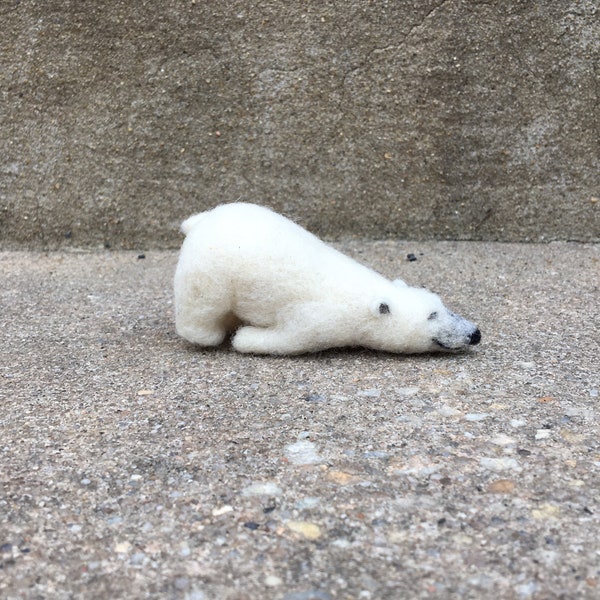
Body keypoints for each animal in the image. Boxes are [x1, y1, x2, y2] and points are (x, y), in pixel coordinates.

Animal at [172, 205, 478, 356]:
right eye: (432, 315)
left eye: (440, 304)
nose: (475, 333)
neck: (358, 296)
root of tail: (201, 221)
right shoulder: (318, 317)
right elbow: (291, 338)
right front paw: (247, 337)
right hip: (208, 271)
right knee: (202, 307)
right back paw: (209, 335)